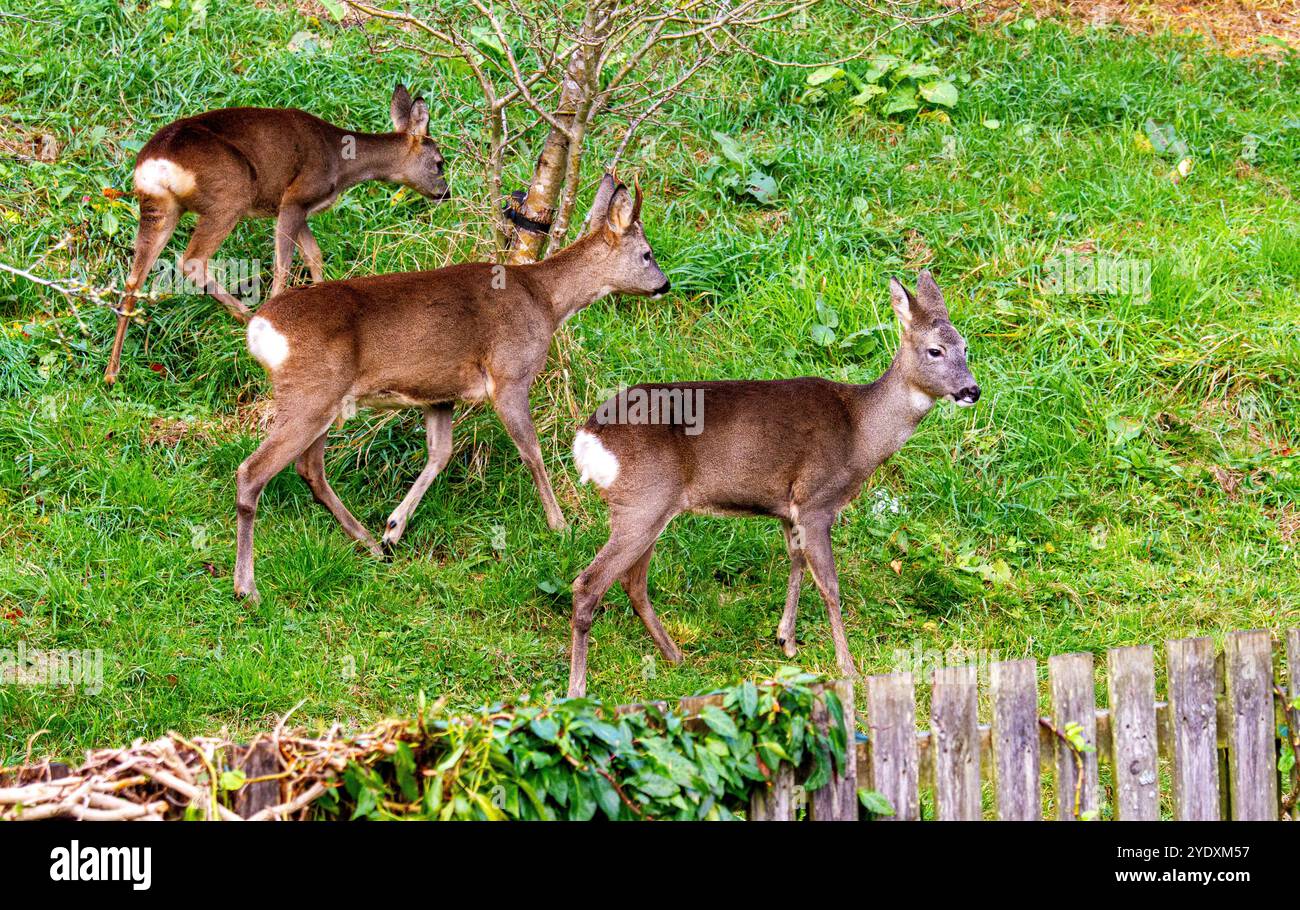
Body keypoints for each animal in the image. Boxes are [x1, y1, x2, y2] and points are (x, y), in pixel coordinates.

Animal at [105, 84, 452, 384]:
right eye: (440, 163)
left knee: (134, 277)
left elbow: (314, 254)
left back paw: (112, 372)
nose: (445, 194)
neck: (341, 165)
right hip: (229, 194)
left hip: (159, 206)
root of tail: (155, 164)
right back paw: (248, 318)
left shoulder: (300, 210)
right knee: (192, 261)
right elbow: (284, 264)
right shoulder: (295, 198)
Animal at [230, 176, 670, 603]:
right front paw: (559, 524)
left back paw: (369, 542)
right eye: (647, 254)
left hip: (325, 400)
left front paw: (394, 527)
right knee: (252, 471)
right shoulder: (509, 375)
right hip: (311, 392)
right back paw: (247, 588)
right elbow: (531, 451)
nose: (664, 285)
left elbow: (440, 455)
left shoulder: (440, 394)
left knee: (311, 470)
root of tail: (261, 327)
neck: (545, 301)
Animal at [564, 270, 977, 696]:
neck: (860, 432)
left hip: (649, 507)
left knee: (633, 584)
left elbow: (796, 564)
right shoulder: (816, 499)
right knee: (588, 585)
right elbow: (830, 585)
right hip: (642, 503)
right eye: (934, 351)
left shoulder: (786, 507)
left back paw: (675, 656)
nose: (971, 390)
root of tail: (587, 438)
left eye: (965, 347)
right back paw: (577, 688)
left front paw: (787, 641)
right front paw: (847, 667)